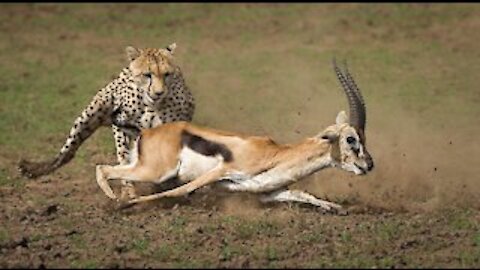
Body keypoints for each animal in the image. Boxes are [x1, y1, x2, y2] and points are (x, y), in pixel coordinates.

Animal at [18, 42, 195, 198]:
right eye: (147, 75)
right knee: (67, 152)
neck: (151, 105)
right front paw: (128, 190)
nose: (159, 92)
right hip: (88, 117)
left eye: (167, 74)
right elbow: (124, 156)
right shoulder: (120, 124)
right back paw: (33, 169)